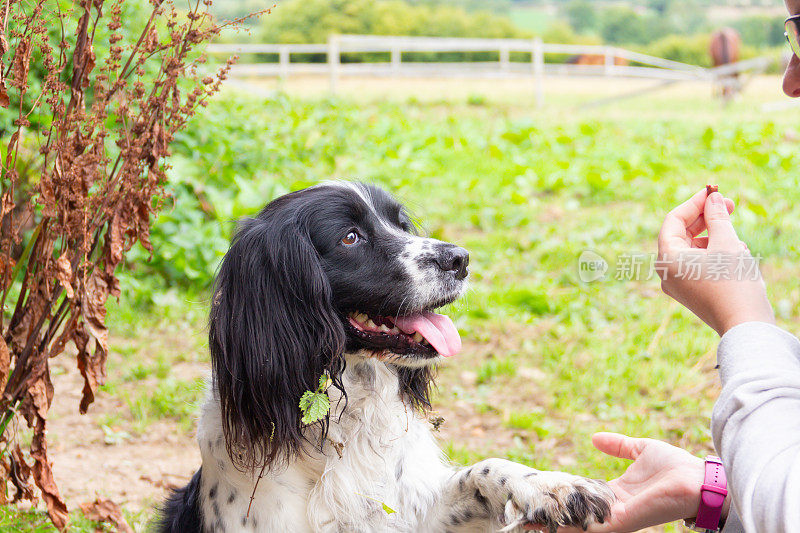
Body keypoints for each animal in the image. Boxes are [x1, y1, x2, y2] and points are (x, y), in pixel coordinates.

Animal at [159, 181, 616, 528]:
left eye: (400, 224)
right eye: (350, 237)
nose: (460, 259)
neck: (342, 419)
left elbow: (483, 469)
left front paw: (551, 486)